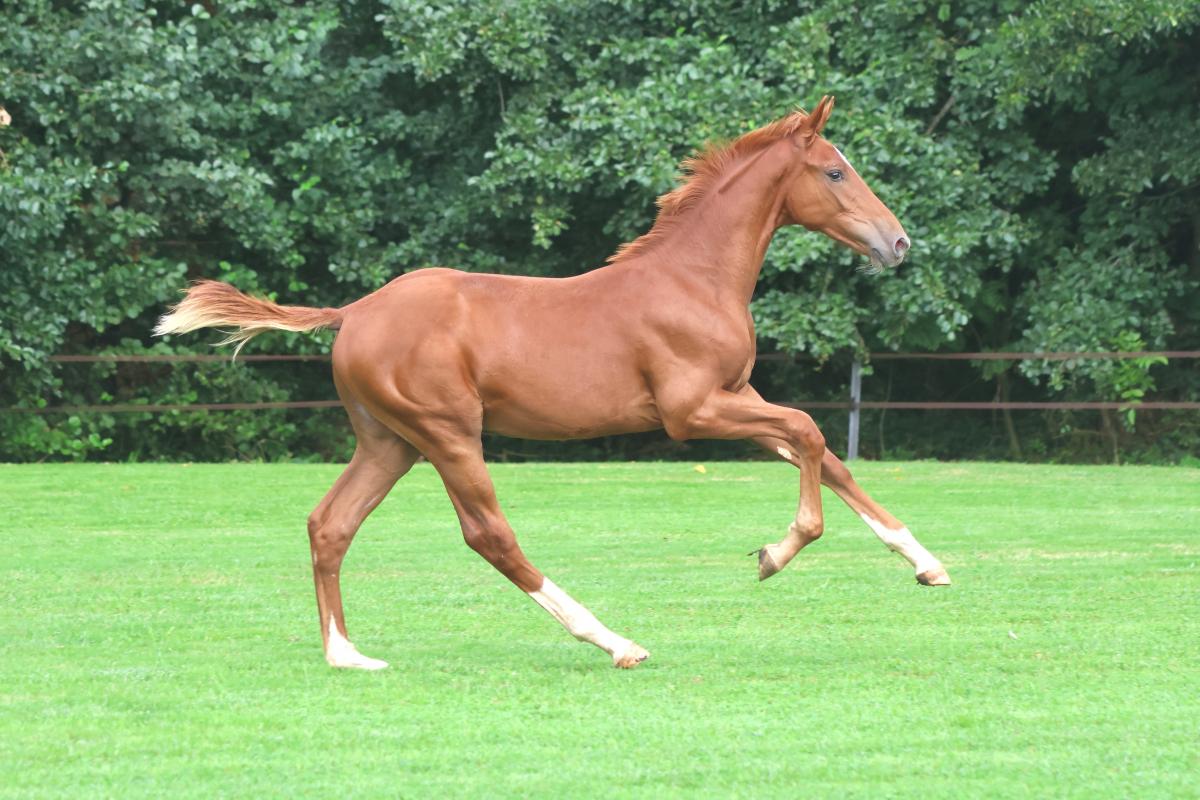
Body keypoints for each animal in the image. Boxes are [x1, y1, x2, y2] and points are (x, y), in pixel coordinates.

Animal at [156, 96, 950, 671]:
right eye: (835, 171)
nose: (898, 242)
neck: (694, 278)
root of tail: (354, 312)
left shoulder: (739, 398)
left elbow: (827, 455)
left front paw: (927, 564)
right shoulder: (692, 412)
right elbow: (810, 434)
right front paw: (775, 554)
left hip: (389, 442)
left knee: (331, 524)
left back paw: (347, 654)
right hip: (447, 434)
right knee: (489, 535)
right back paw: (615, 641)